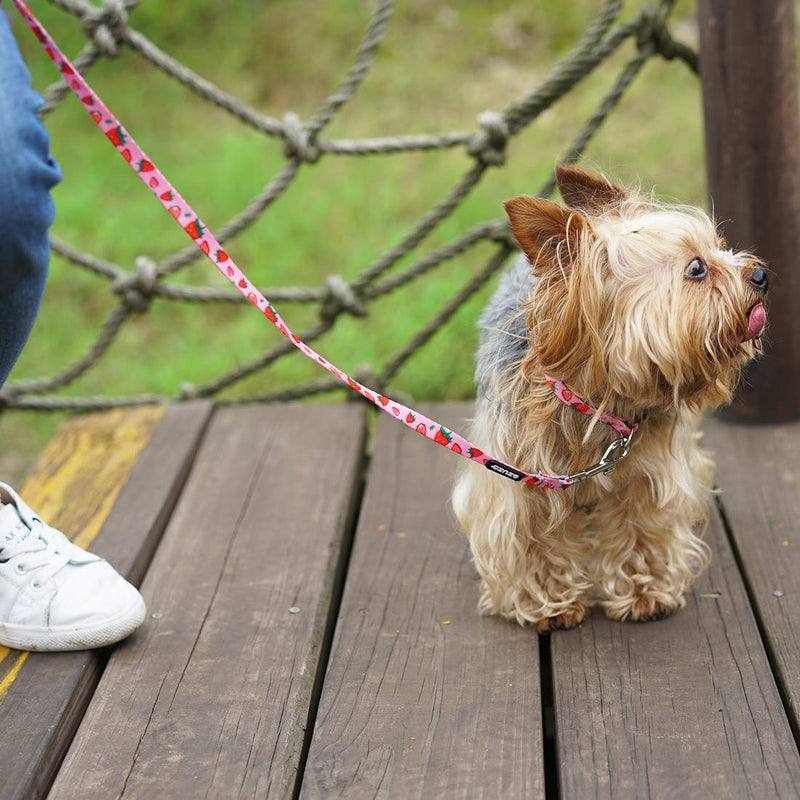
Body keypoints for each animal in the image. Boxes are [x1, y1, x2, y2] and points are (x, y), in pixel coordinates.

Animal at [454, 167, 764, 632]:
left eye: (722, 245)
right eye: (696, 268)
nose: (762, 276)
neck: (599, 402)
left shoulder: (648, 471)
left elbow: (641, 526)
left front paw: (643, 592)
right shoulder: (519, 476)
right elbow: (531, 537)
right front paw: (549, 604)